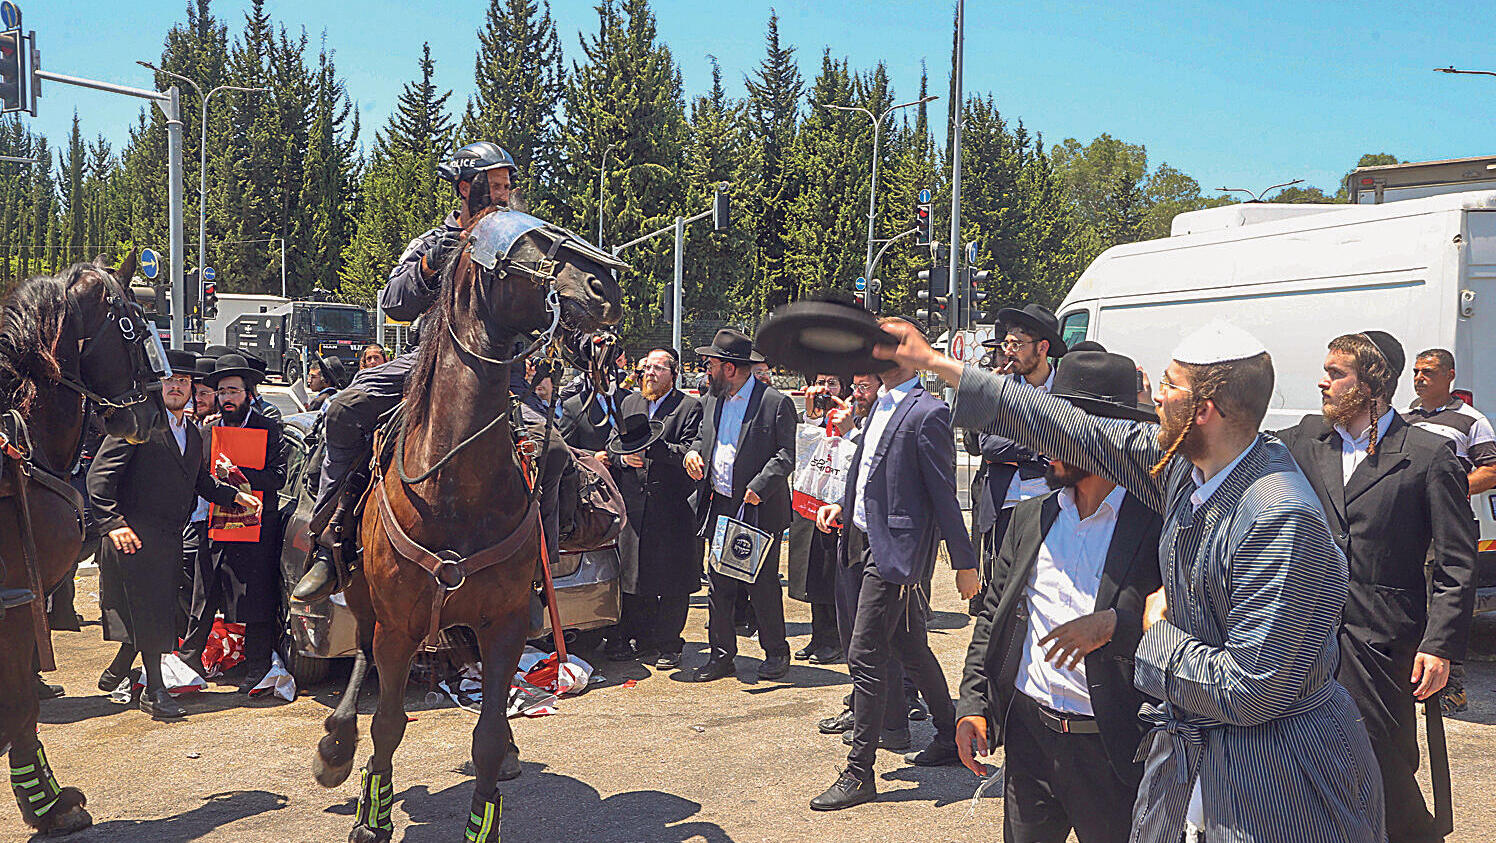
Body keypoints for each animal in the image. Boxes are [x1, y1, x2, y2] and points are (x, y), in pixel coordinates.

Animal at [312, 212, 622, 843]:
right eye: (528, 243)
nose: (605, 288)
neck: (453, 485)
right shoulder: (399, 626)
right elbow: (388, 723)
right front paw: (372, 817)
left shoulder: (503, 623)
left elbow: (486, 734)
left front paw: (485, 814)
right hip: (361, 596)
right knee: (359, 654)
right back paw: (336, 744)